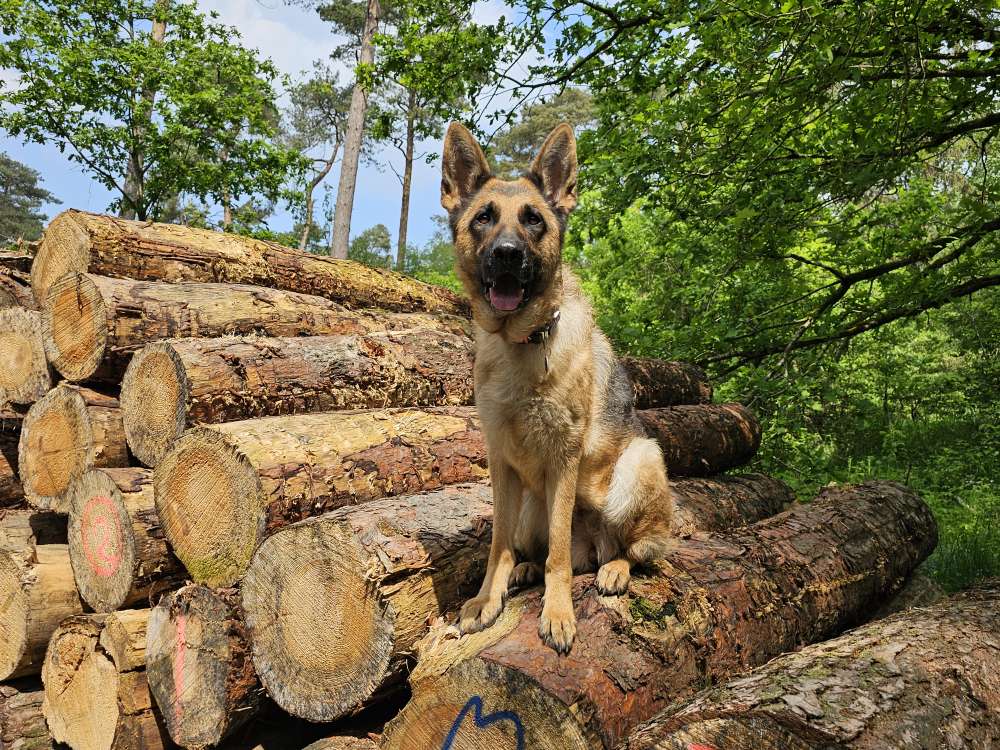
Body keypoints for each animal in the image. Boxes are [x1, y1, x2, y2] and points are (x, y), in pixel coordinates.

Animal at [444, 122, 672, 652]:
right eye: (483, 219)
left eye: (534, 221)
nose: (507, 255)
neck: (522, 343)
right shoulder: (501, 463)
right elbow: (499, 544)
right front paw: (488, 598)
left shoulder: (564, 460)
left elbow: (560, 558)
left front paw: (558, 612)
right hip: (532, 503)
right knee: (547, 547)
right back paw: (526, 570)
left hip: (640, 462)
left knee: (633, 549)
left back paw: (614, 569)